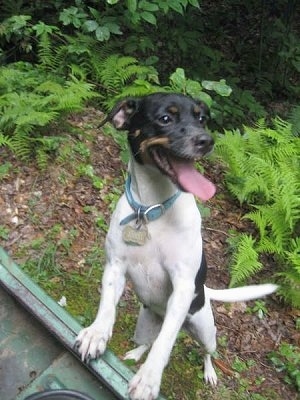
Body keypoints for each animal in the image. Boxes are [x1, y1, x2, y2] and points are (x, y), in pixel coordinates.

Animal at [74, 93, 276, 400]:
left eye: (201, 118)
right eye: (165, 118)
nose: (206, 140)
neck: (151, 210)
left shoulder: (181, 286)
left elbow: (166, 341)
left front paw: (148, 378)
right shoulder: (115, 267)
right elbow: (107, 306)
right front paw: (96, 334)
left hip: (206, 331)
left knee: (204, 352)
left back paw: (209, 372)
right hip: (144, 323)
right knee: (147, 340)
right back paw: (135, 354)